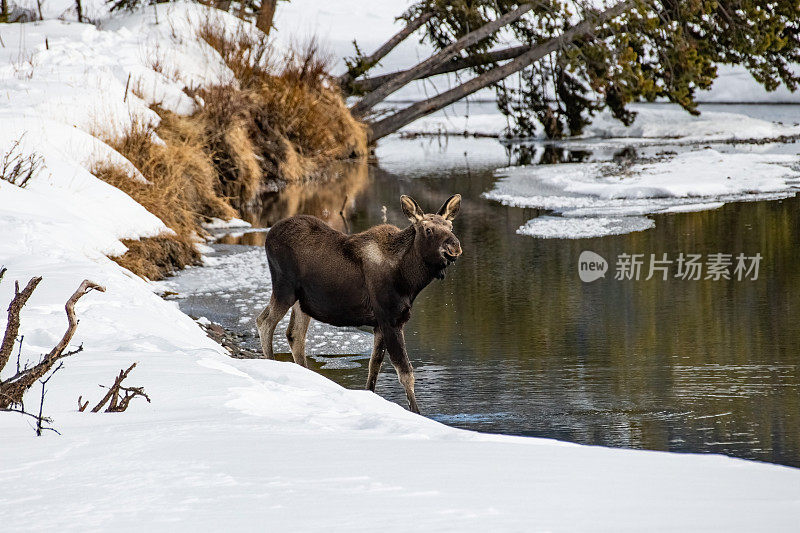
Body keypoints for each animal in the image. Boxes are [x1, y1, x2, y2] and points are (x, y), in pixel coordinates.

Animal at [258, 193, 462, 414]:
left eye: (450, 226)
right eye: (428, 229)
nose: (454, 247)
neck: (409, 280)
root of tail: (269, 236)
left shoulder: (380, 324)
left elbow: (374, 367)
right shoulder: (390, 319)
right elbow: (406, 373)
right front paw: (417, 413)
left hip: (302, 302)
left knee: (294, 335)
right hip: (284, 288)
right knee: (264, 322)